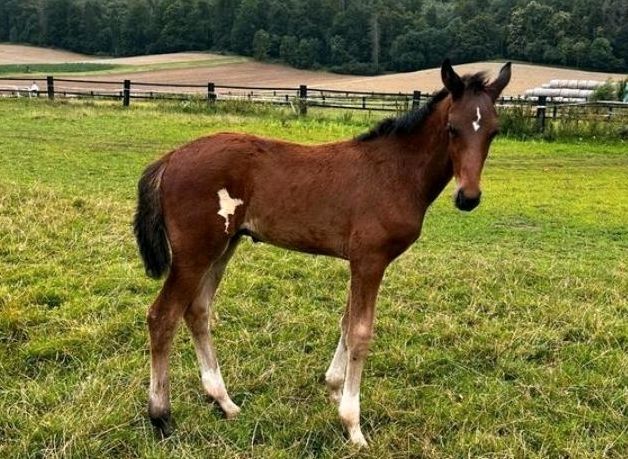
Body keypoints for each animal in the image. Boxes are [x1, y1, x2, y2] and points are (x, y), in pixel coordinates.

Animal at [132, 59, 510, 448]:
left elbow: (345, 323)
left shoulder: (359, 261)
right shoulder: (370, 260)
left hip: (223, 247)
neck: (395, 171)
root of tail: (170, 158)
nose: (468, 197)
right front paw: (353, 426)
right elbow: (360, 331)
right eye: (452, 128)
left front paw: (333, 388)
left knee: (197, 310)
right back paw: (161, 416)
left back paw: (225, 403)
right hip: (195, 252)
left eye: (494, 131)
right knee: (162, 316)